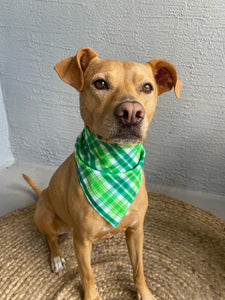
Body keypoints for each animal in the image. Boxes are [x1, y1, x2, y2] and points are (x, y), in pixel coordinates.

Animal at [23, 47, 181, 300]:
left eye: (147, 87)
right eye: (100, 83)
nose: (131, 112)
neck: (115, 166)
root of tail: (41, 194)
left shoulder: (136, 231)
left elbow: (139, 269)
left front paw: (145, 293)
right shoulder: (81, 241)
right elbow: (87, 275)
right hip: (46, 216)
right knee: (51, 239)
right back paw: (56, 258)